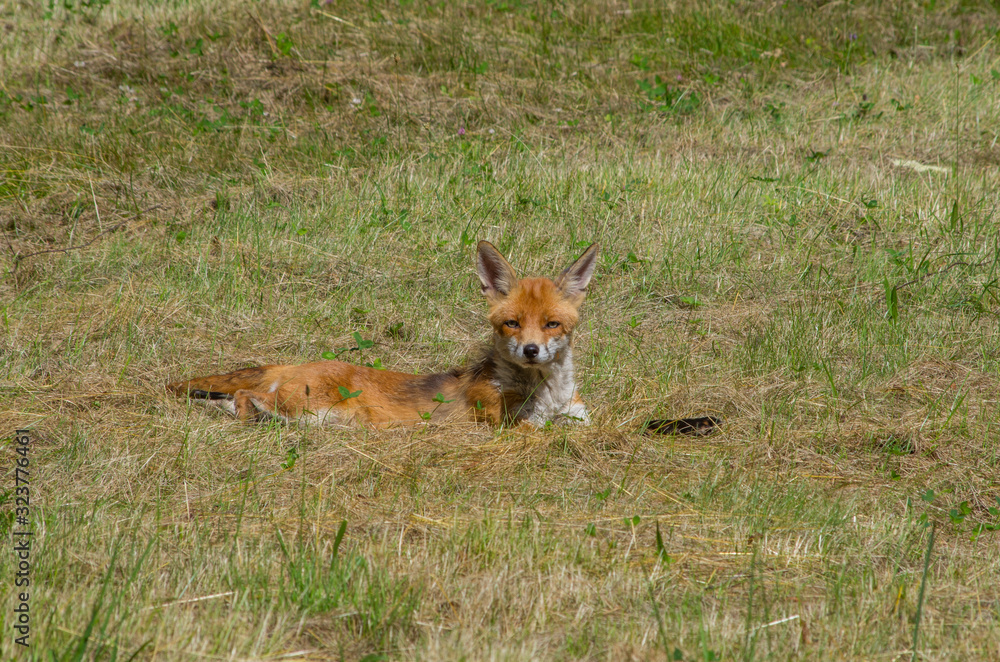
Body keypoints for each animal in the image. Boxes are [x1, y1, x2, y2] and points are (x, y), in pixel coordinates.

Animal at [168, 241, 596, 428]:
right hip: (311, 409)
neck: (548, 395)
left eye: (551, 324)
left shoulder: (579, 417)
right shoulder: (510, 427)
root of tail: (294, 363)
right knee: (243, 396)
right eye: (512, 323)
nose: (530, 350)